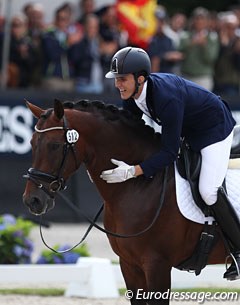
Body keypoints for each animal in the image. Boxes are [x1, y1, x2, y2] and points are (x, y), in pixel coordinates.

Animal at [23, 98, 229, 302]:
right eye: (32, 143)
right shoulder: (130, 265)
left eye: (55, 145)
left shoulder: (158, 265)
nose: (32, 200)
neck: (141, 185)